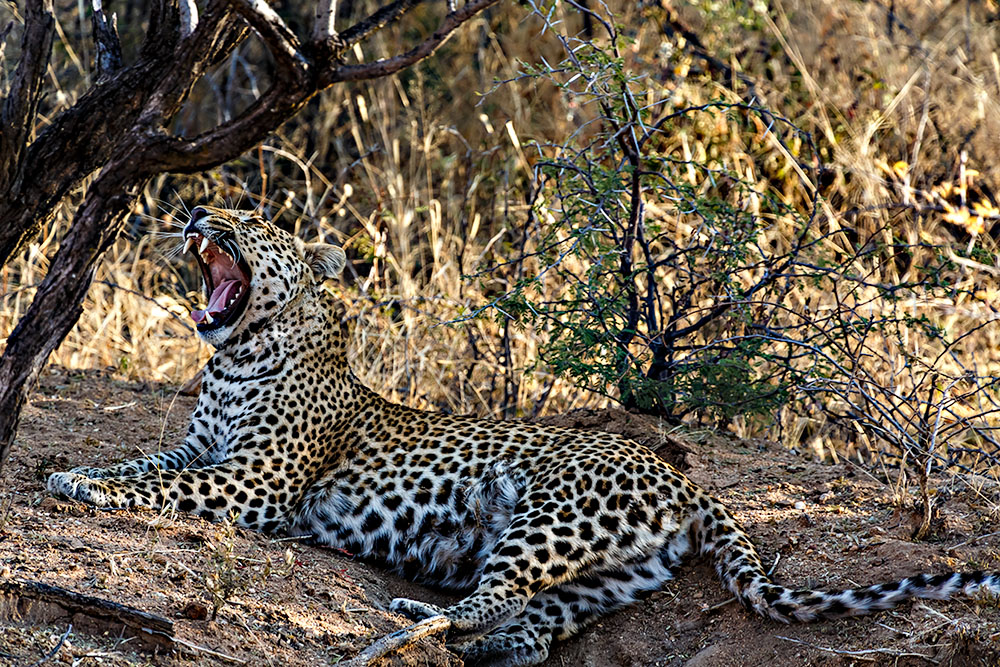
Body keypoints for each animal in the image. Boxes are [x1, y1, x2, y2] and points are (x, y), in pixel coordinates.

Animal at [48, 206, 1000, 664]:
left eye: (251, 223)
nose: (197, 213)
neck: (240, 348)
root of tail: (690, 483)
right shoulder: (202, 446)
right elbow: (146, 458)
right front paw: (76, 470)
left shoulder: (255, 477)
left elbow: (167, 488)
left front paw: (88, 488)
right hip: (613, 570)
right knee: (540, 621)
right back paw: (486, 646)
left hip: (549, 516)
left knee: (497, 594)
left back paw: (417, 618)